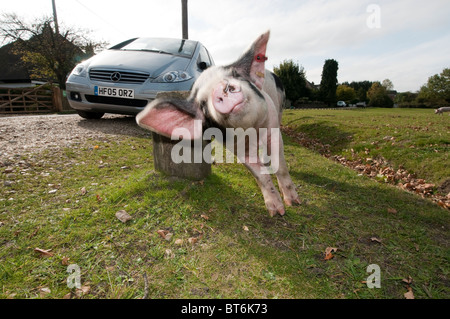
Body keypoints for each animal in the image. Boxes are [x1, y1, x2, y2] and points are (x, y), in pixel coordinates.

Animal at [135, 31, 300, 216]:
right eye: (203, 105)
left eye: (236, 75)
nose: (221, 88)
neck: (253, 130)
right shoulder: (238, 148)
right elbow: (260, 176)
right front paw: (276, 212)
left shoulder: (272, 126)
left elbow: (281, 165)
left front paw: (294, 203)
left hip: (279, 110)